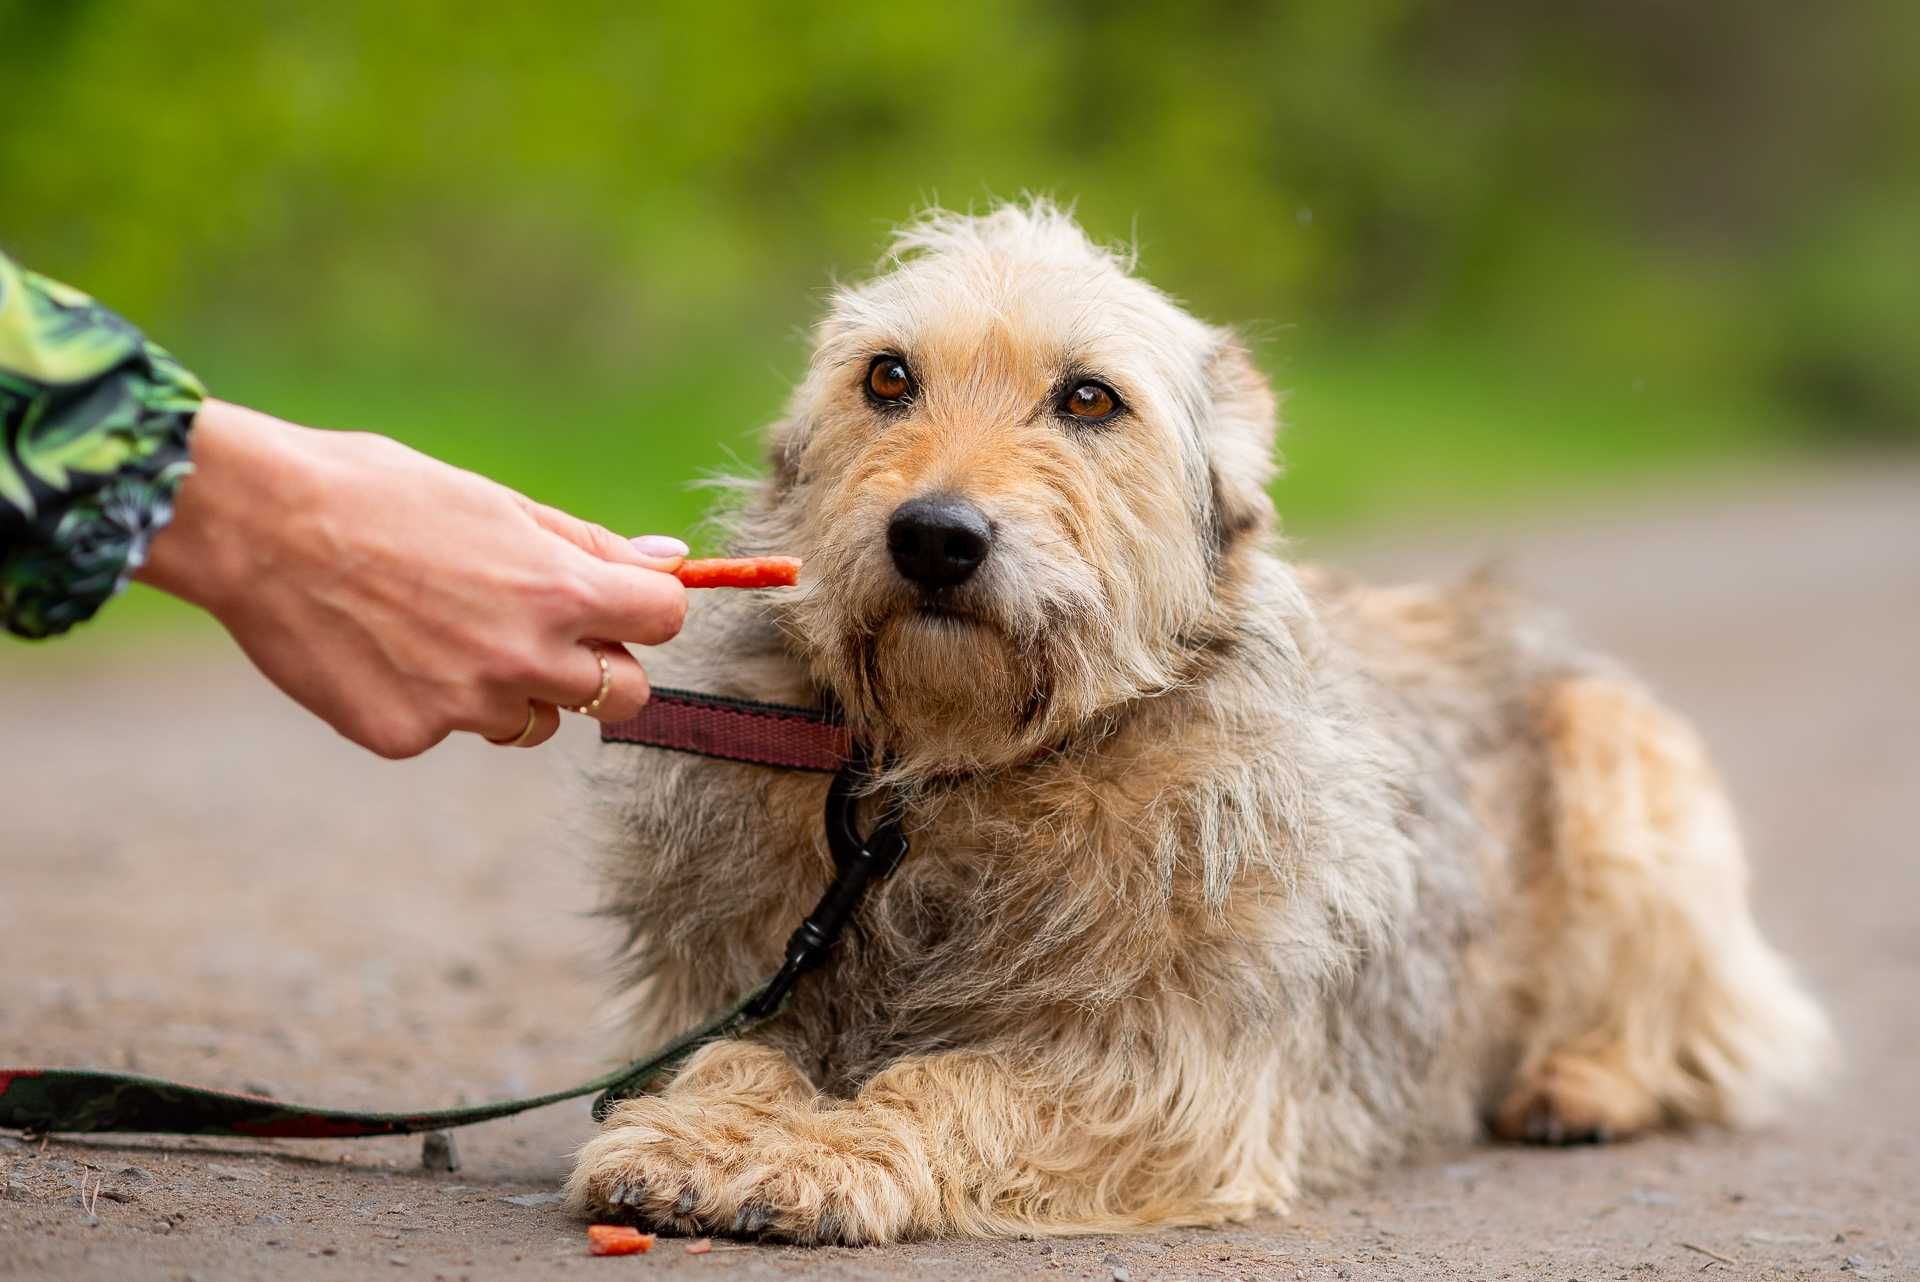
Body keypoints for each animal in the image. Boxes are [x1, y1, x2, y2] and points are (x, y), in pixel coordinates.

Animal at [560, 200, 1827, 1243]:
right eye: (886, 377)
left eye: (1088, 397)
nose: (934, 536)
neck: (961, 768)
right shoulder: (735, 981)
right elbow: (731, 1053)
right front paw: (714, 1132)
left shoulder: (1176, 1077)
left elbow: (953, 1081)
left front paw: (829, 1151)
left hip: (1620, 764)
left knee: (1707, 1029)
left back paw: (1584, 1080)